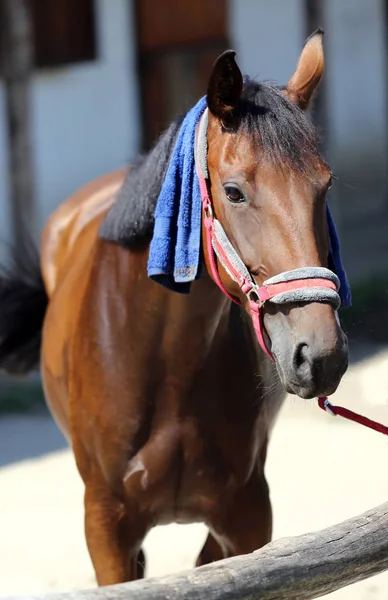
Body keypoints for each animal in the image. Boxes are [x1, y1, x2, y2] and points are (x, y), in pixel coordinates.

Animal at [0, 30, 348, 584]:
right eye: (234, 192)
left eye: (326, 185)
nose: (320, 354)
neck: (167, 366)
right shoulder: (106, 527)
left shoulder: (248, 514)